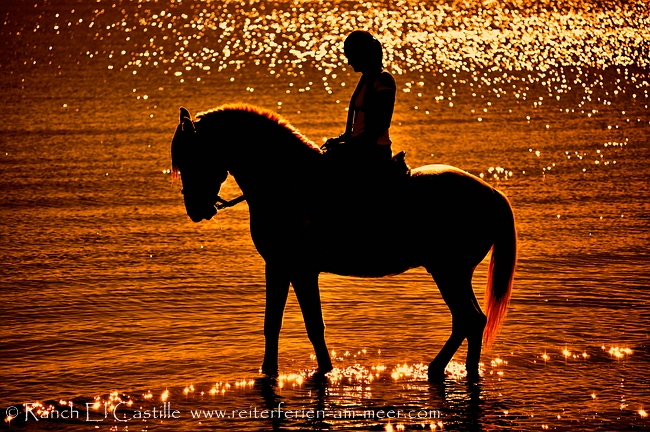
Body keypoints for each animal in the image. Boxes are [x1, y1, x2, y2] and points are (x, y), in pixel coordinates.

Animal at [170, 104, 512, 382]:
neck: (288, 182)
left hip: (449, 272)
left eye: (192, 157)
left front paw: (325, 370)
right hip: (454, 273)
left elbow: (313, 325)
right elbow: (272, 324)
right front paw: (269, 371)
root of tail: (493, 194)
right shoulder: (278, 267)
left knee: (469, 320)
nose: (195, 209)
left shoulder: (302, 270)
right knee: (471, 321)